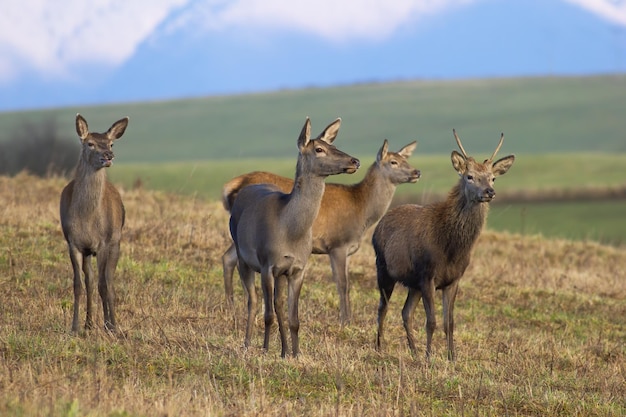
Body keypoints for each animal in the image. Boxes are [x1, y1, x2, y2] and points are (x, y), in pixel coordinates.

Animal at [59, 112, 129, 334]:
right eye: (89, 143)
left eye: (111, 143)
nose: (108, 156)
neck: (87, 220)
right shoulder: (73, 243)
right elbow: (78, 285)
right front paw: (74, 327)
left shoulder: (105, 242)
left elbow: (104, 285)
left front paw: (112, 326)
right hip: (89, 251)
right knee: (90, 281)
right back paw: (89, 323)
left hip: (116, 242)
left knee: (108, 281)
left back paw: (108, 324)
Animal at [219, 138, 420, 324]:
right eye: (393, 162)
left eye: (405, 158)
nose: (416, 172)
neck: (362, 211)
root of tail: (230, 186)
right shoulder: (337, 244)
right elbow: (342, 284)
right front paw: (345, 320)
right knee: (231, 258)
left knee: (229, 258)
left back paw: (232, 307)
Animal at [227, 115, 358, 356]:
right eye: (319, 149)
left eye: (334, 145)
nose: (355, 161)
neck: (291, 231)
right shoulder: (267, 264)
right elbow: (269, 314)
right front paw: (266, 348)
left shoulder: (298, 268)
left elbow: (293, 317)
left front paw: (295, 353)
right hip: (243, 257)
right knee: (253, 301)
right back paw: (248, 343)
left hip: (279, 272)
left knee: (277, 304)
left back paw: (282, 348)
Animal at [370, 128, 512, 360]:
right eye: (469, 176)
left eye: (492, 178)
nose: (489, 192)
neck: (451, 249)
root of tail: (378, 226)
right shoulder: (428, 275)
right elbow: (432, 322)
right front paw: (430, 357)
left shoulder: (452, 279)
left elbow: (449, 322)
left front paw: (452, 357)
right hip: (384, 269)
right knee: (383, 308)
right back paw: (379, 348)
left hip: (413, 283)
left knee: (405, 312)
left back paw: (414, 352)